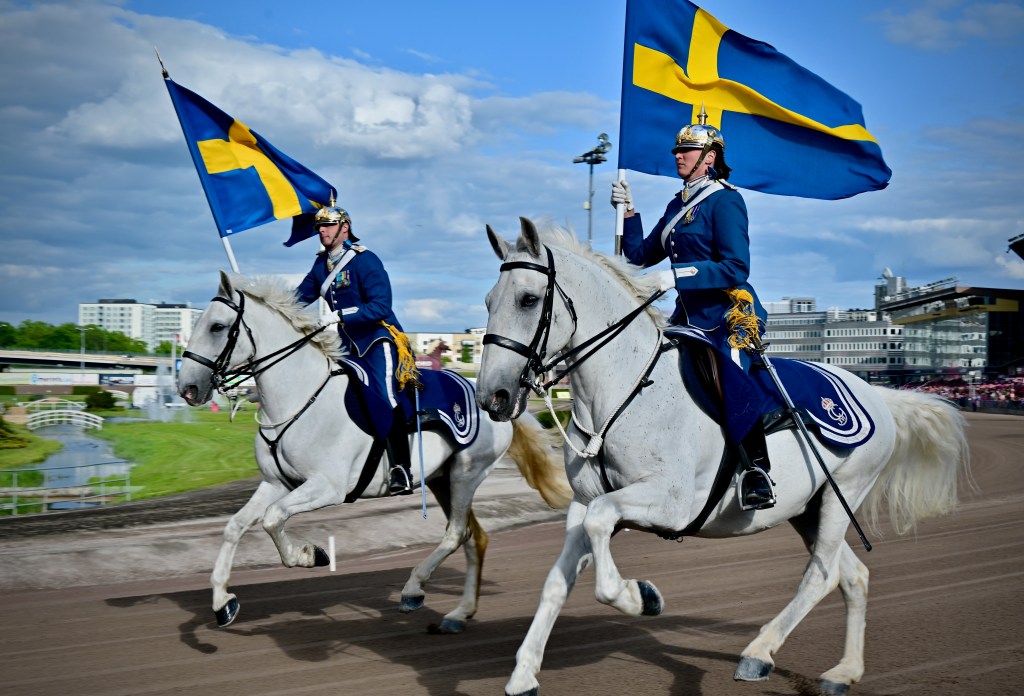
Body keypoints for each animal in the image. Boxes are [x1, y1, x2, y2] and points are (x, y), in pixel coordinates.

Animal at [178, 271, 571, 632]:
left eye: (216, 326)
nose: (187, 388)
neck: (301, 399)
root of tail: (493, 398)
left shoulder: (327, 488)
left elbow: (273, 519)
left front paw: (309, 555)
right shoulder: (277, 484)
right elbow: (235, 526)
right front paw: (222, 602)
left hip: (465, 475)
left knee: (456, 533)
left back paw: (413, 589)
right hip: (442, 480)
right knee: (475, 538)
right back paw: (459, 614)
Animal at [475, 218, 971, 696]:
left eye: (528, 299)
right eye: (488, 300)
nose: (492, 396)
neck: (623, 393)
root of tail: (876, 394)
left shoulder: (668, 503)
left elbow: (602, 532)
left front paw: (642, 596)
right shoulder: (582, 505)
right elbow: (556, 583)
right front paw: (523, 675)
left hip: (840, 495)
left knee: (823, 574)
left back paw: (758, 652)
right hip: (807, 509)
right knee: (853, 575)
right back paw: (843, 672)